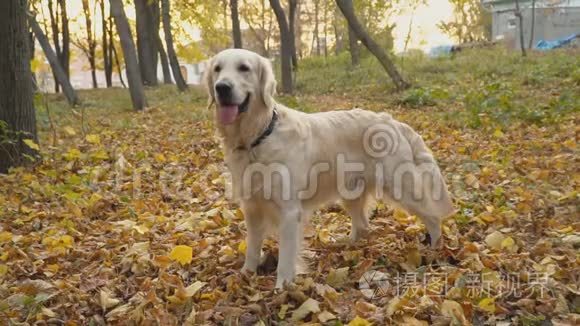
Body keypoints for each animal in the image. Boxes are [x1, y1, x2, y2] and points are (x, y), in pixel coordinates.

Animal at [203, 47, 454, 288]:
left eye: (244, 68)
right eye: (217, 69)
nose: (221, 87)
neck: (260, 135)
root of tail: (391, 120)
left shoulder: (289, 211)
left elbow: (286, 256)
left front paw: (282, 287)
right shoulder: (252, 207)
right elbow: (253, 247)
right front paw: (246, 275)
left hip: (401, 186)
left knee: (433, 218)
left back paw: (434, 250)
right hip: (351, 192)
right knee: (363, 225)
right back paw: (347, 245)